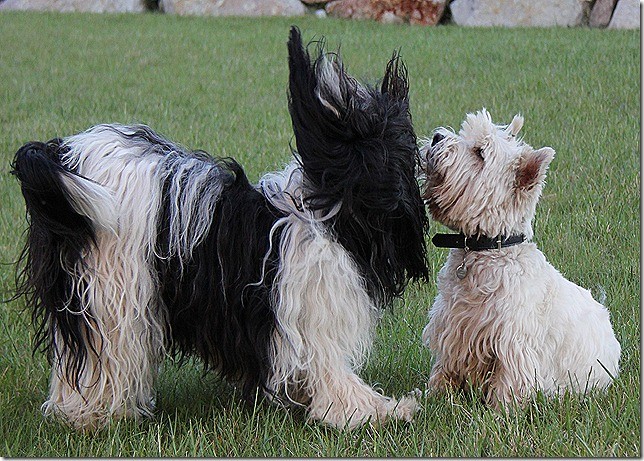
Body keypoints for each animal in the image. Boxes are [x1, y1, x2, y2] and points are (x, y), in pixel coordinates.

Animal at [11, 27, 428, 428]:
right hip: (110, 289)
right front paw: (379, 410)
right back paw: (94, 414)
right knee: (103, 355)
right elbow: (333, 375)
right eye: (392, 143)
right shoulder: (311, 320)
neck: (326, 211)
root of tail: (59, 153)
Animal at [420, 109, 620, 408]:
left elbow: (509, 381)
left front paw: (498, 411)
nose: (437, 137)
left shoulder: (512, 342)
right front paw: (431, 397)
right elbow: (445, 369)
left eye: (480, 153)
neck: (487, 249)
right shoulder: (451, 328)